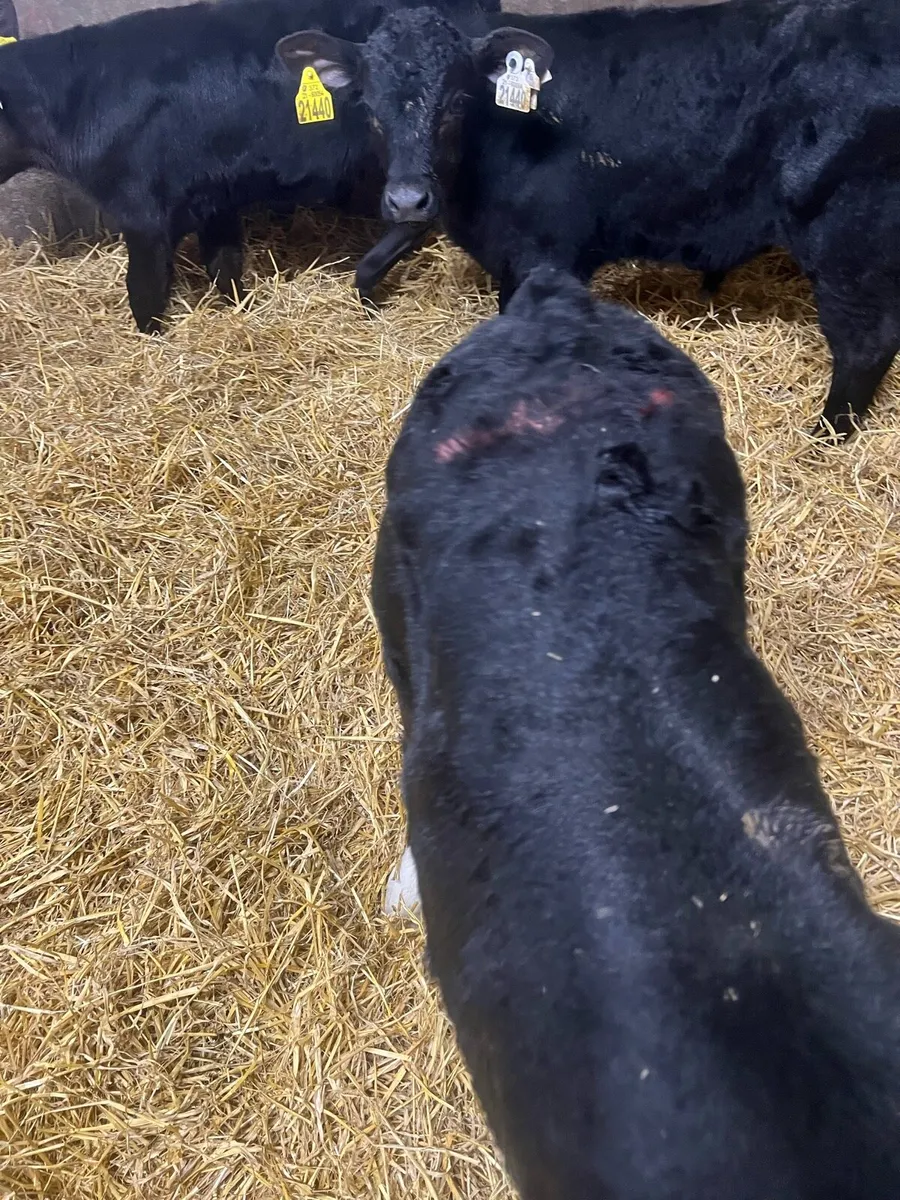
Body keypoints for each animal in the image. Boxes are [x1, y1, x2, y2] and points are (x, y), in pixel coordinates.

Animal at [278, 0, 900, 437]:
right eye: (370, 107)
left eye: (456, 101)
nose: (409, 201)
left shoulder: (545, 253)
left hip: (847, 240)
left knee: (864, 347)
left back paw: (821, 438)